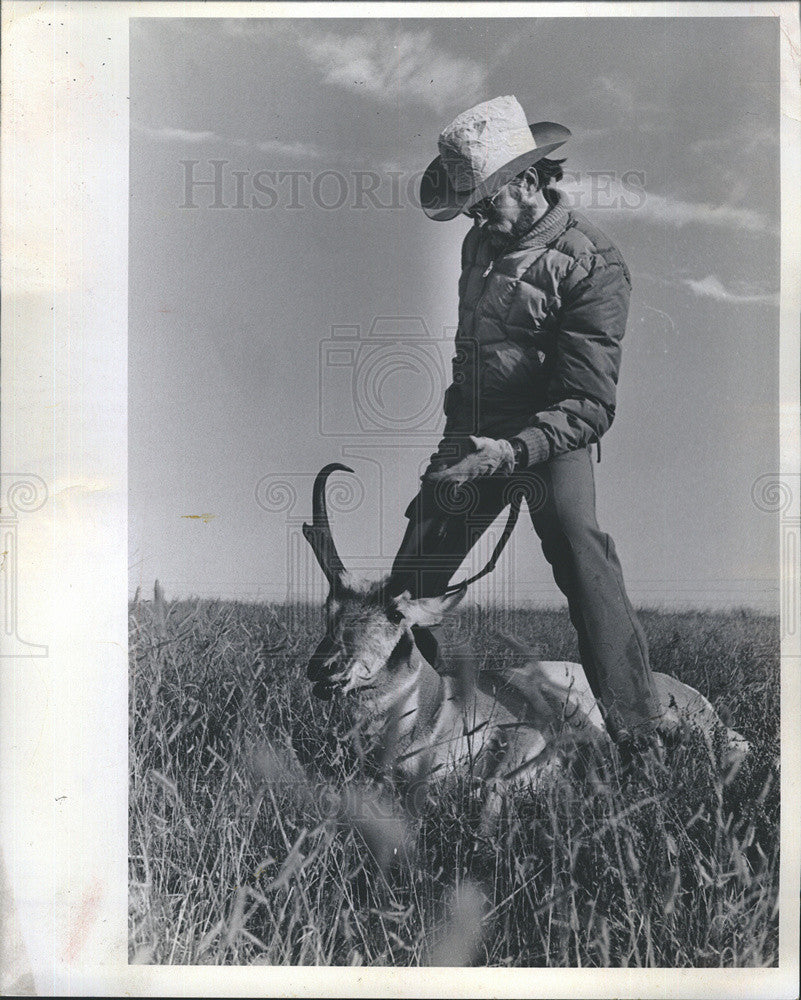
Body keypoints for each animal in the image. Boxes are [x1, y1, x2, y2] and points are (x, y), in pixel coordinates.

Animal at [302, 462, 752, 796]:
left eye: (396, 615)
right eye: (330, 607)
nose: (324, 667)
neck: (441, 703)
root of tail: (679, 686)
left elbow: (490, 785)